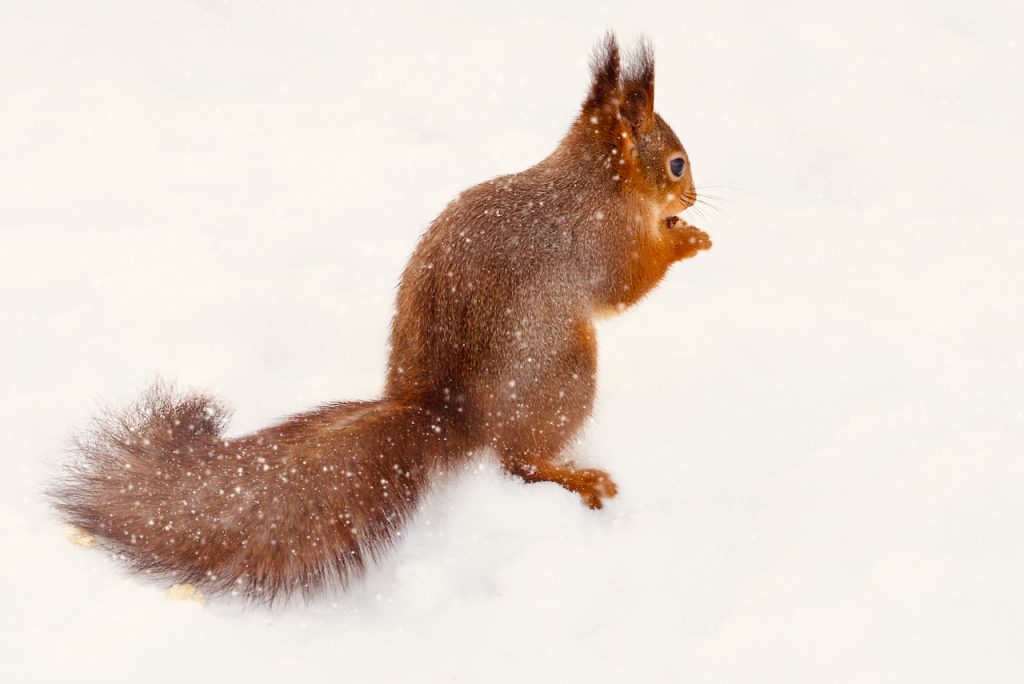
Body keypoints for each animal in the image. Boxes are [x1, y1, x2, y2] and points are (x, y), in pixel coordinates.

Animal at [54, 34, 712, 602]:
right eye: (676, 165)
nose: (692, 197)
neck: (594, 182)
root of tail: (445, 413)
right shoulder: (602, 242)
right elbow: (628, 283)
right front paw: (687, 239)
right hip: (566, 370)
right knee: (517, 463)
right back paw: (575, 478)